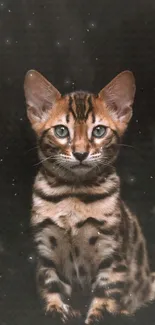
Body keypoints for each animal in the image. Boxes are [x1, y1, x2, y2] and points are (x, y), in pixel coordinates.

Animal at [23, 70, 155, 322]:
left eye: (99, 131)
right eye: (61, 131)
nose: (81, 153)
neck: (73, 193)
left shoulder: (112, 256)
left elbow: (104, 302)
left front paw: (98, 314)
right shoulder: (45, 253)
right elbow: (51, 291)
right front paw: (57, 312)